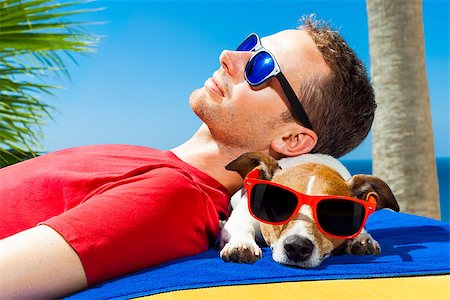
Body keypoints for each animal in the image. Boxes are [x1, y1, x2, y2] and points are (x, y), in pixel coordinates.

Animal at [220, 152, 400, 268]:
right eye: (279, 204)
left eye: (334, 212)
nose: (297, 247)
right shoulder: (242, 217)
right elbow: (243, 226)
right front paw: (242, 243)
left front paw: (361, 238)